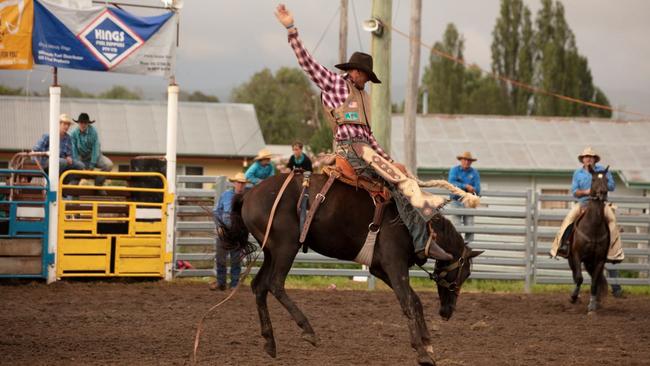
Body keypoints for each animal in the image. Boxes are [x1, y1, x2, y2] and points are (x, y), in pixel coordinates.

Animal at [225, 173, 478, 364]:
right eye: (465, 274)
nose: (447, 312)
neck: (420, 229)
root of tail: (249, 193)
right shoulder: (394, 264)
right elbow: (407, 302)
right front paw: (422, 352)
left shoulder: (380, 269)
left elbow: (415, 301)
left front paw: (428, 344)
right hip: (285, 247)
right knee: (275, 283)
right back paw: (308, 330)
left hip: (270, 251)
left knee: (259, 286)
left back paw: (270, 342)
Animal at [568, 166, 608, 312]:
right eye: (594, 179)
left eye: (607, 179)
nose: (603, 193)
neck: (593, 227)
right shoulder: (576, 255)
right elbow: (579, 278)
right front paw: (573, 297)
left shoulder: (600, 260)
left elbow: (595, 283)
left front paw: (592, 306)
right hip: (572, 259)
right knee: (575, 275)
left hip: (590, 262)